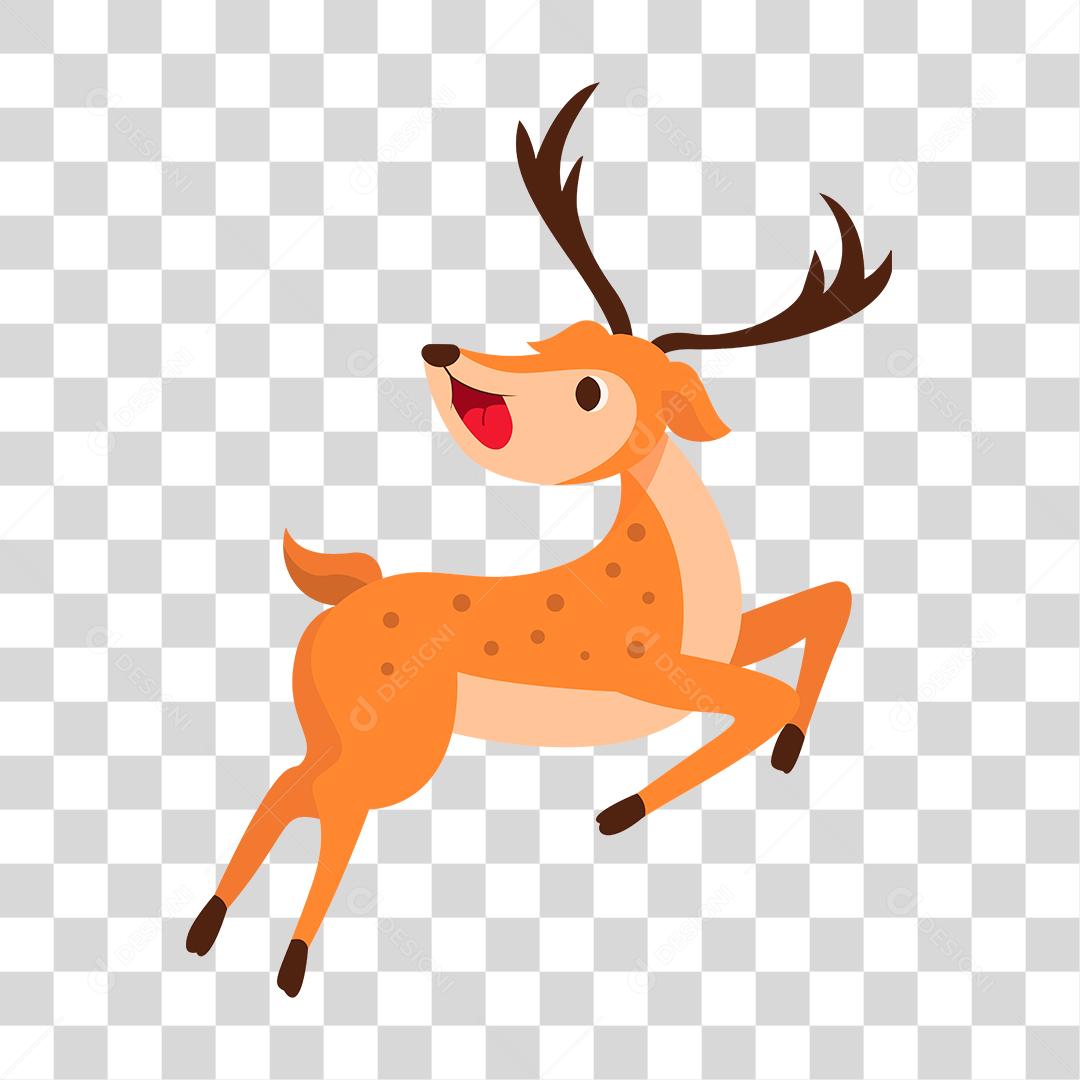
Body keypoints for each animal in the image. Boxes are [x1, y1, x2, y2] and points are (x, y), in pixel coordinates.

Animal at [187, 84, 891, 996]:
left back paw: (208, 930)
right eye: (566, 340)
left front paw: (788, 753)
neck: (683, 581)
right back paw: (291, 964)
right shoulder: (652, 672)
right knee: (332, 802)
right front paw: (620, 812)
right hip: (400, 738)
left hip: (343, 728)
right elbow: (765, 693)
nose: (443, 352)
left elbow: (828, 603)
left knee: (291, 786)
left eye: (592, 388)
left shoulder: (717, 649)